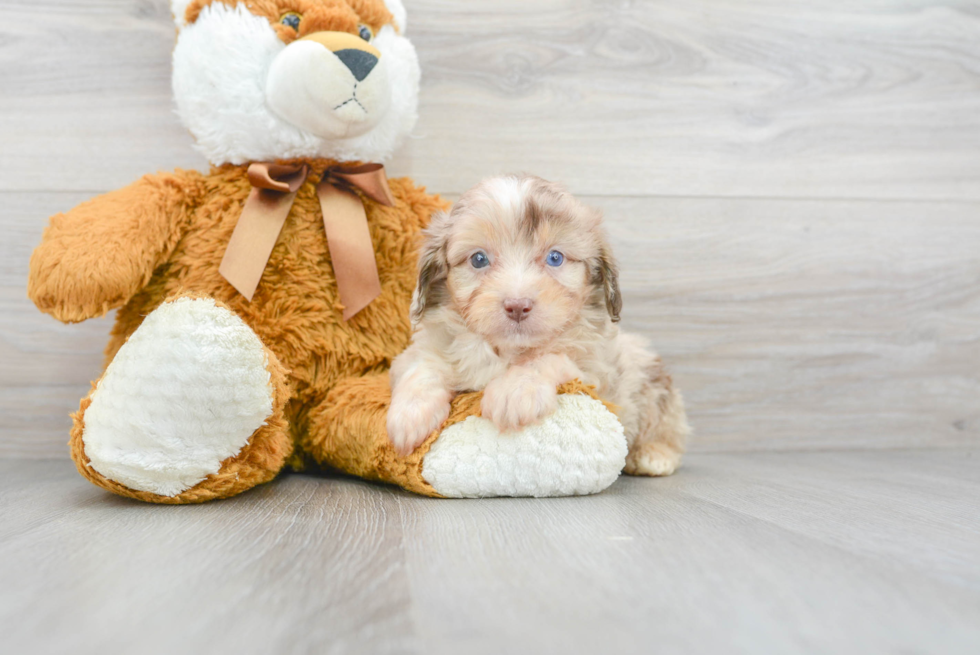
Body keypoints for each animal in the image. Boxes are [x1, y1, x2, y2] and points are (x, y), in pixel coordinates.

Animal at [382, 174, 688, 476]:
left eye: (555, 258)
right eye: (479, 259)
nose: (517, 305)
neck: (507, 350)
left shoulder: (597, 376)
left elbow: (548, 358)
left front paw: (514, 390)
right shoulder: (417, 352)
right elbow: (423, 366)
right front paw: (410, 414)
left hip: (649, 382)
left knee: (667, 426)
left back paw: (653, 455)